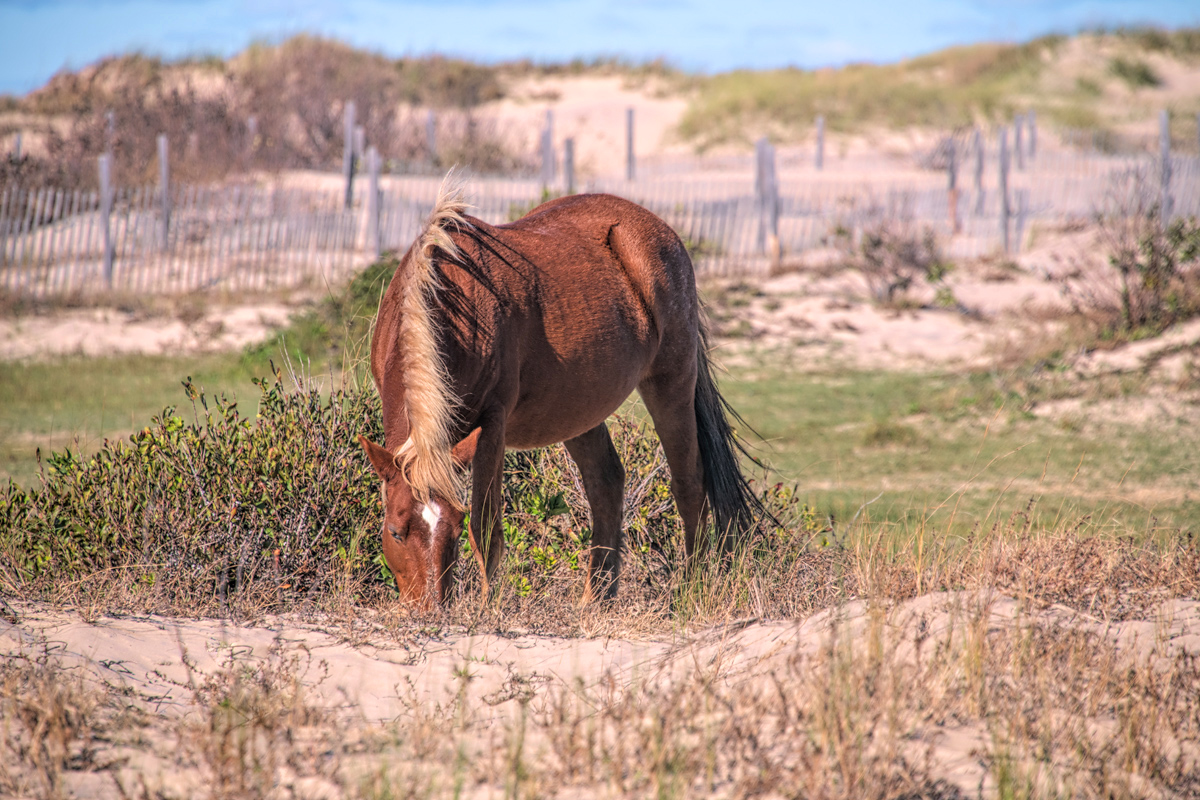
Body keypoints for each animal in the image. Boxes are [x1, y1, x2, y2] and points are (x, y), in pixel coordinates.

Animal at [360, 179, 763, 606]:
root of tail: (658, 229)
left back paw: (693, 590)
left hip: (672, 382)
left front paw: (488, 609)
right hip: (578, 409)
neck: (453, 303)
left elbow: (486, 527)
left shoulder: (492, 425)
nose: (431, 608)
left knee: (688, 483)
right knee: (606, 483)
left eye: (453, 528)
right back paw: (596, 599)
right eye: (395, 531)